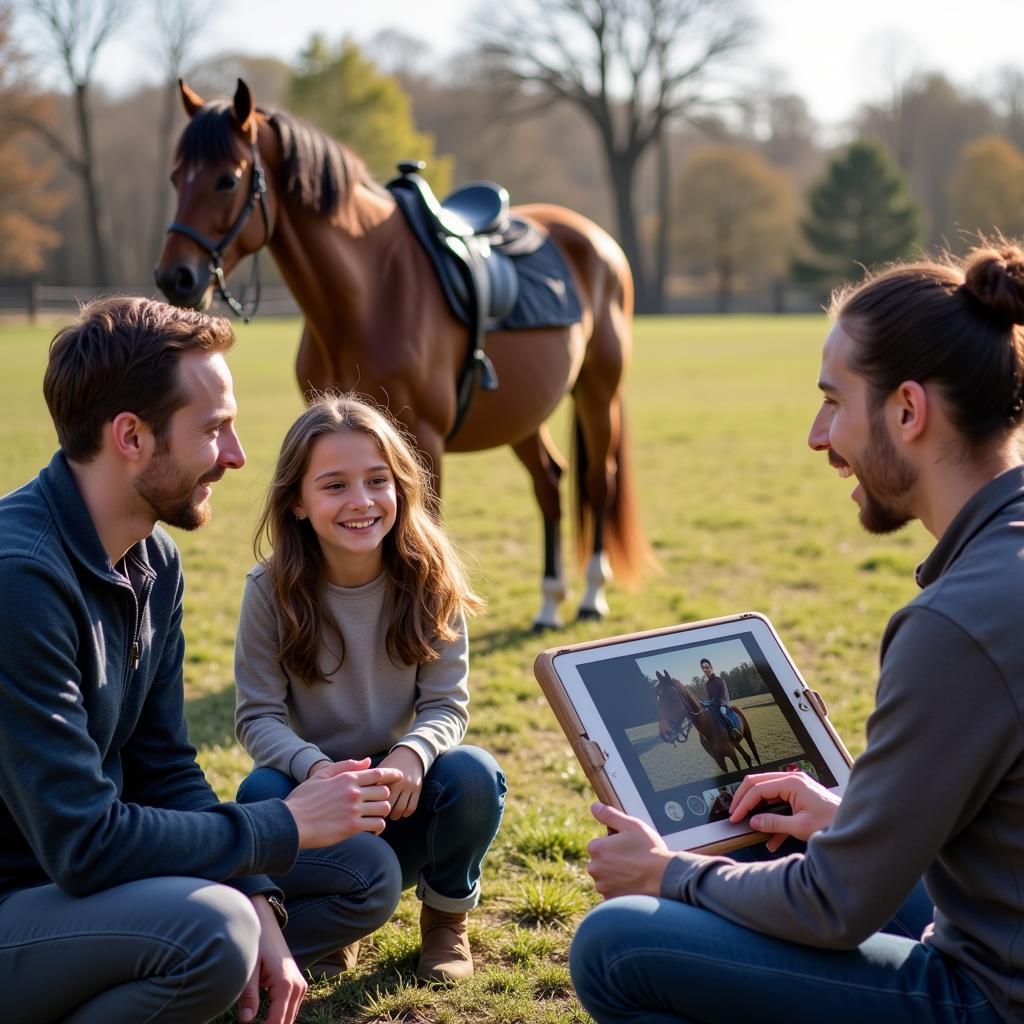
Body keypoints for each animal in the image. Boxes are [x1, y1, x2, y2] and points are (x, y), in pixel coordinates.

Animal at [153, 75, 647, 626]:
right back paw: (548, 602)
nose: (176, 277)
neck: (370, 290)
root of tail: (597, 241)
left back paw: (591, 595)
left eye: (227, 180)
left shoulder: (422, 440)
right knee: (550, 483)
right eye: (175, 177)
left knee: (599, 481)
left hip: (597, 392)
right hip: (523, 410)